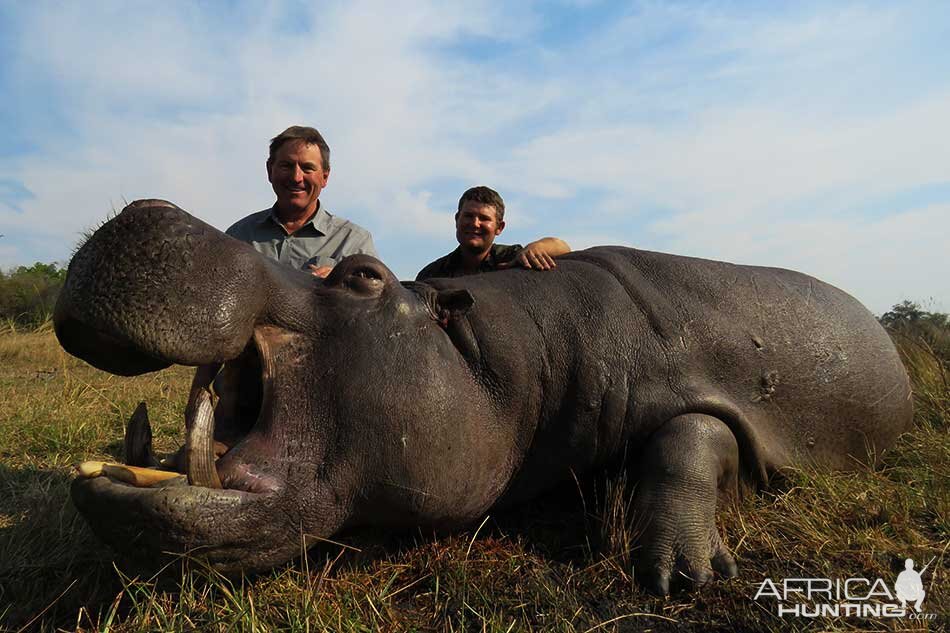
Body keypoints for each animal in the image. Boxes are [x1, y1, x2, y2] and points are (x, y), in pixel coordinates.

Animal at [54, 199, 916, 592]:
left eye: (363, 276)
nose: (148, 210)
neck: (503, 359)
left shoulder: (707, 394)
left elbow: (693, 438)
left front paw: (679, 574)